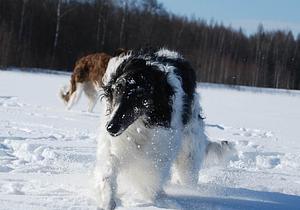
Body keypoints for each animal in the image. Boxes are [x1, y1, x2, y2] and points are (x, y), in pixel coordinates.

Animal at [95, 48, 230, 209]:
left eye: (140, 95)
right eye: (117, 90)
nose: (111, 128)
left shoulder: (159, 152)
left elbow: (151, 184)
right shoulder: (118, 146)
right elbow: (109, 173)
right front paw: (108, 202)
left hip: (189, 157)